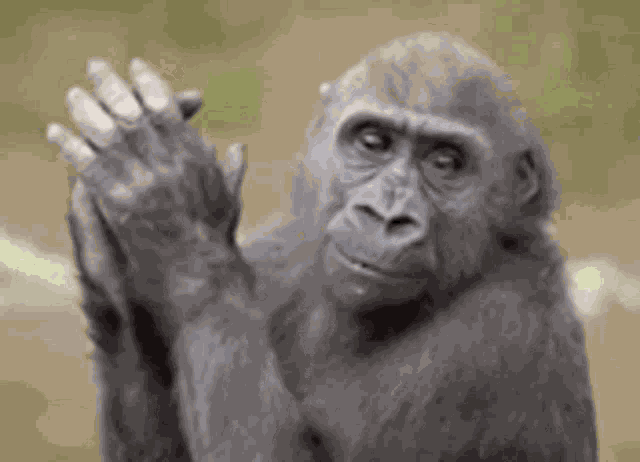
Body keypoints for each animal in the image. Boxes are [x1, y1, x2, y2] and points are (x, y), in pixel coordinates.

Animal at [47, 32, 598, 461]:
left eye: (446, 162)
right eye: (373, 142)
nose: (386, 216)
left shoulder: (504, 332)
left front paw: (173, 208)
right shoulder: (275, 256)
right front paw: (107, 260)